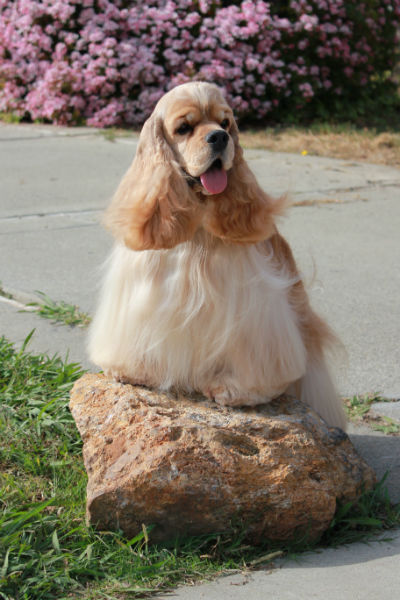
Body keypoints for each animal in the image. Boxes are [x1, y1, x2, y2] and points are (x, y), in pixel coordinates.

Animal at [88, 82, 346, 432]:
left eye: (226, 124)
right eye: (184, 128)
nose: (219, 138)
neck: (197, 221)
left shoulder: (250, 306)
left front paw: (239, 390)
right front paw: (133, 370)